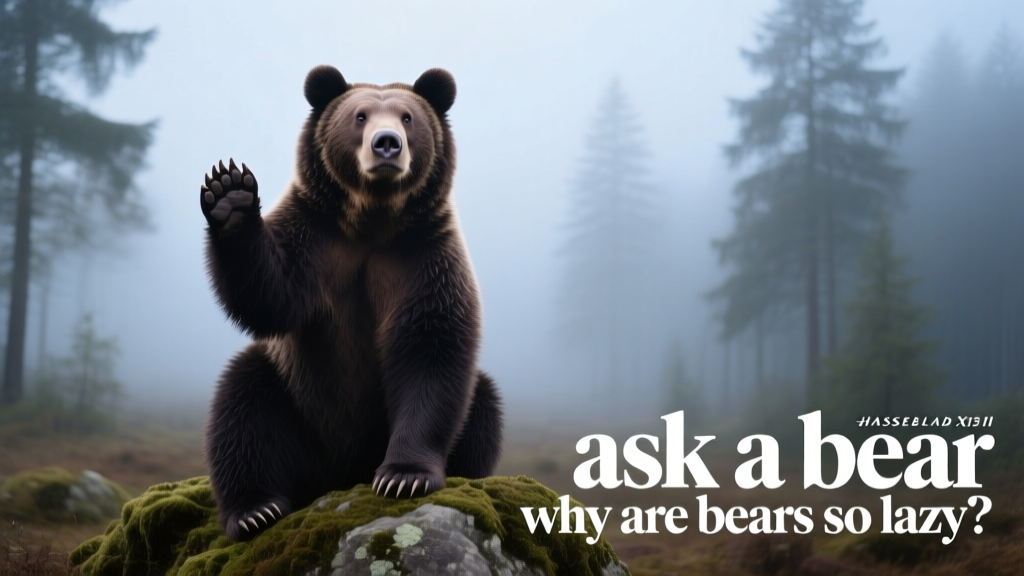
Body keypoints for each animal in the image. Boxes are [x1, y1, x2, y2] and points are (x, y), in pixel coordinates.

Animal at [198, 65, 503, 541]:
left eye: (408, 118)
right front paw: (230, 194)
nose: (387, 143)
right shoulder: (316, 242)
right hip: (295, 407)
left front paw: (404, 476)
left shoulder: (423, 258)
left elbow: (431, 351)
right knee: (242, 406)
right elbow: (269, 298)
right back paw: (256, 509)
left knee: (483, 404)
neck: (373, 221)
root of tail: (338, 475)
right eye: (359, 116)